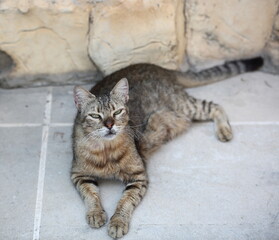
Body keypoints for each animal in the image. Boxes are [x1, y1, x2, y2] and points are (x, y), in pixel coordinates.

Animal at [71, 56, 264, 238]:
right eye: (95, 116)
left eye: (117, 112)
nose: (110, 125)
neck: (107, 149)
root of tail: (159, 67)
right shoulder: (78, 174)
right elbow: (90, 194)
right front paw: (95, 213)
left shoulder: (138, 177)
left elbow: (125, 201)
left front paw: (118, 222)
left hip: (185, 105)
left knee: (214, 106)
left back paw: (224, 130)